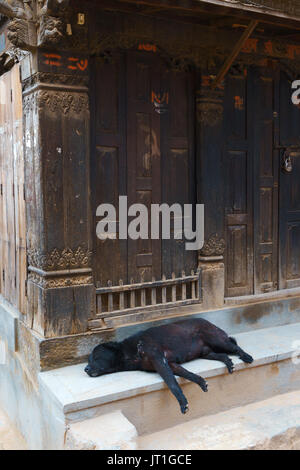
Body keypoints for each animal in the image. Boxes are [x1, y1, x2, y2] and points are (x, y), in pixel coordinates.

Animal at [84, 318, 253, 414]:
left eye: (96, 357)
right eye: (89, 359)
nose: (85, 369)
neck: (130, 351)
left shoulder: (159, 360)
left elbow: (172, 383)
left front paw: (182, 403)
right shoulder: (170, 364)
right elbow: (187, 374)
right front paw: (200, 382)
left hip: (217, 340)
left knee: (235, 347)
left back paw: (246, 356)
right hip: (206, 352)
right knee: (222, 355)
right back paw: (229, 363)